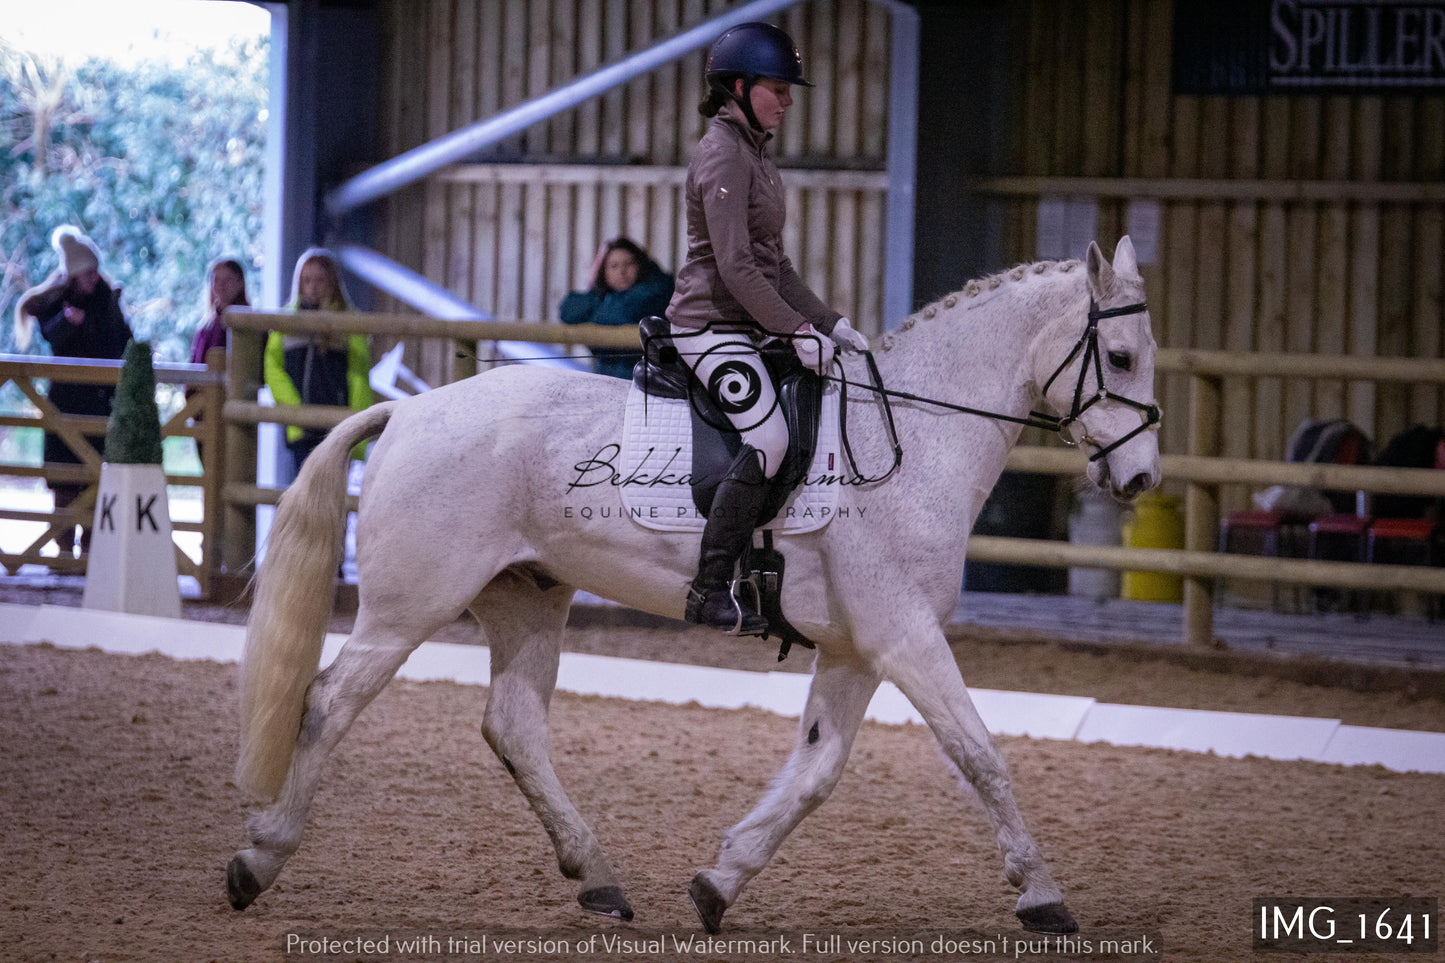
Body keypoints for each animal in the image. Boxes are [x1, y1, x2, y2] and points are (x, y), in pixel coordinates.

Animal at [231, 235, 1167, 931]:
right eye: (1119, 356)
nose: (1140, 479)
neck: (908, 434)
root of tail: (412, 409)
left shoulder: (857, 648)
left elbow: (816, 770)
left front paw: (719, 882)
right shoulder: (903, 633)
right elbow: (978, 754)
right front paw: (1042, 894)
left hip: (528, 595)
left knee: (513, 726)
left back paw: (599, 877)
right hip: (407, 607)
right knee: (328, 703)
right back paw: (257, 858)